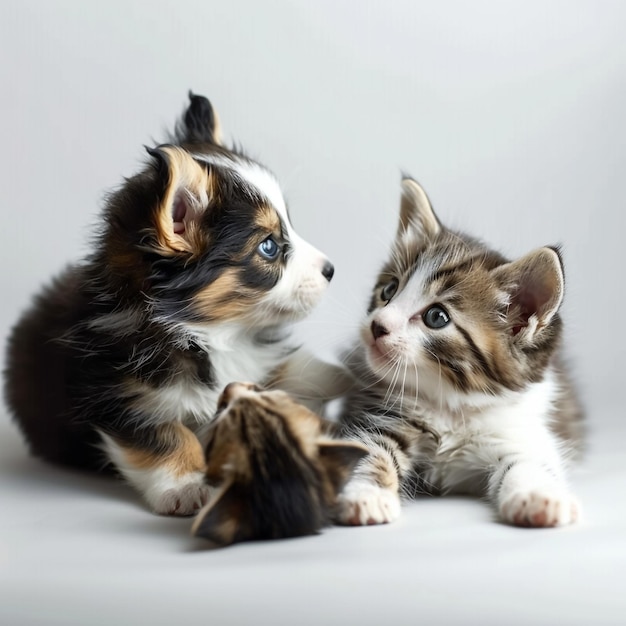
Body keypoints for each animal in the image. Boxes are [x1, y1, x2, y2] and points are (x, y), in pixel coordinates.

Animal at [3, 91, 346, 512]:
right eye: (268, 246)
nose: (330, 269)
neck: (211, 334)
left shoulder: (254, 358)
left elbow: (290, 369)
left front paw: (352, 373)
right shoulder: (120, 397)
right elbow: (165, 434)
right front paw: (186, 486)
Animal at [334, 177, 584, 528]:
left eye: (436, 317)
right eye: (389, 290)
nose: (377, 326)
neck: (451, 403)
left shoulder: (520, 431)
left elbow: (528, 463)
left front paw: (540, 498)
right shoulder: (381, 415)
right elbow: (370, 451)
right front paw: (366, 495)